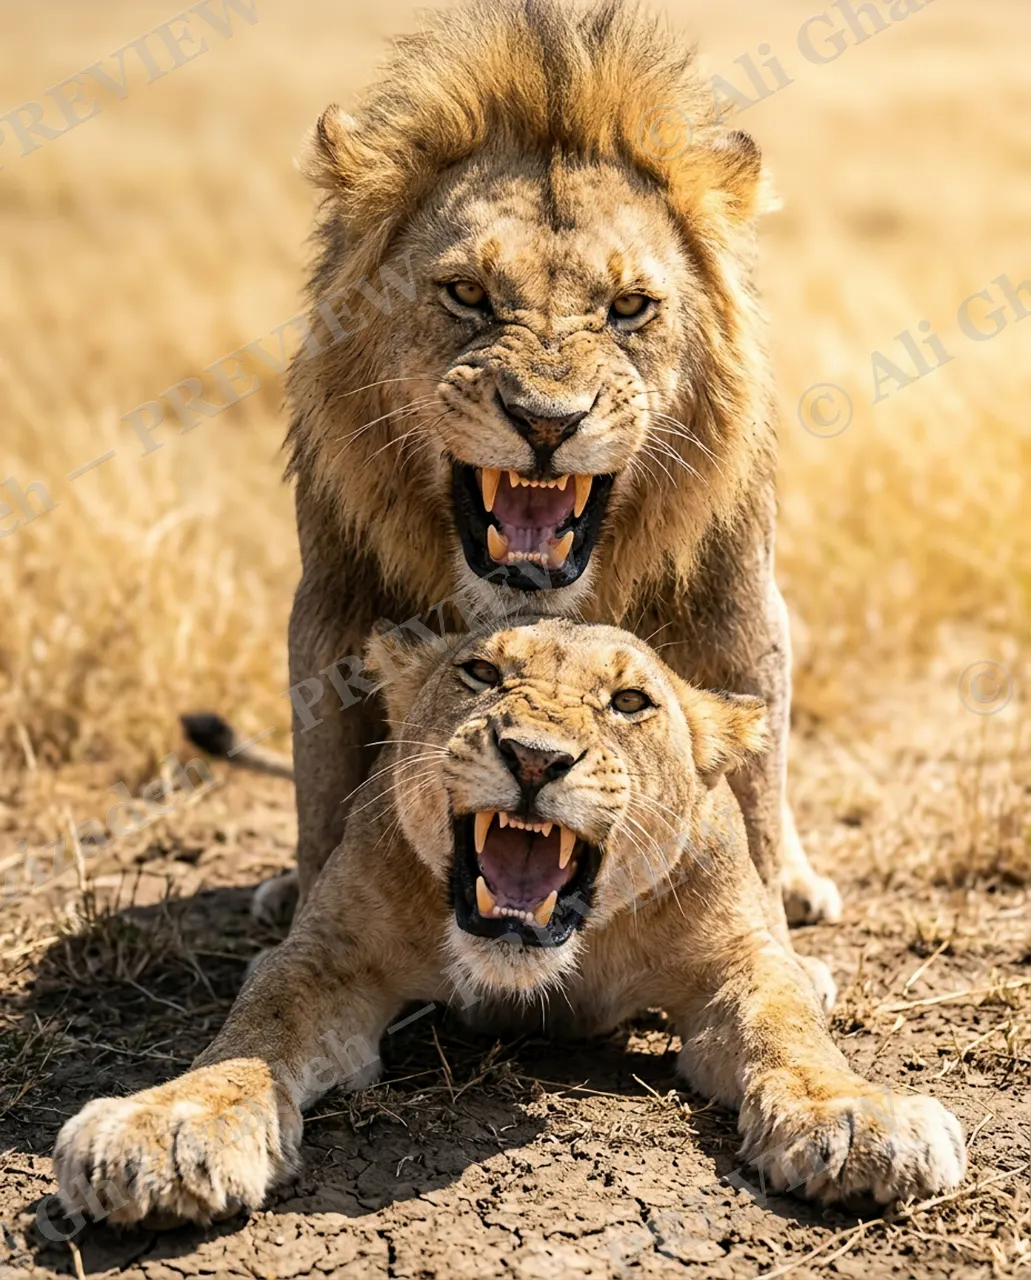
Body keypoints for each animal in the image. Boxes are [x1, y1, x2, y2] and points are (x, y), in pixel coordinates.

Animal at [56, 619, 963, 1226]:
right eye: (481, 671)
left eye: (628, 701)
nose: (534, 757)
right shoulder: (328, 956)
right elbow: (256, 1034)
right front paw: (166, 1123)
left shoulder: (737, 964)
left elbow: (789, 1031)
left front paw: (855, 1116)